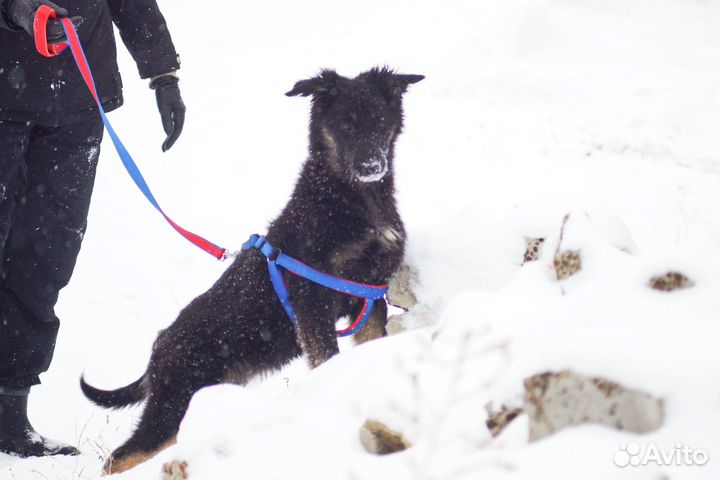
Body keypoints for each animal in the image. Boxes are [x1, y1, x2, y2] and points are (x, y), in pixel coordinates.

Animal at [80, 66, 422, 472]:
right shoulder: (313, 305)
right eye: (345, 124)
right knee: (119, 458)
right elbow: (326, 358)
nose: (371, 167)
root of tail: (157, 351)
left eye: (380, 121)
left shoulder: (371, 296)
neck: (353, 200)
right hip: (171, 406)